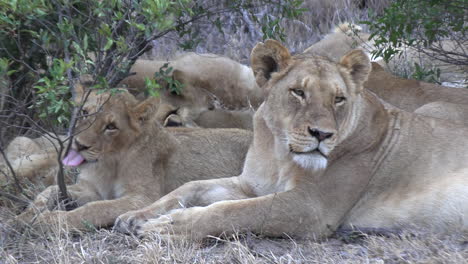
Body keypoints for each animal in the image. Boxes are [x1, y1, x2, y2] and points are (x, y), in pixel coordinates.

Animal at [17, 85, 252, 230]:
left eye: (111, 126)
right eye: (85, 112)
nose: (79, 145)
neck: (107, 163)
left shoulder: (142, 198)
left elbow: (96, 208)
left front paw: (51, 221)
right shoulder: (91, 189)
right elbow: (49, 190)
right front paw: (23, 217)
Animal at [114, 40, 468, 240]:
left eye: (339, 99)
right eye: (298, 92)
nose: (322, 134)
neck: (279, 152)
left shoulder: (312, 207)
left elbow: (234, 212)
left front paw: (169, 227)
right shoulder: (250, 184)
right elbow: (189, 188)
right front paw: (137, 216)